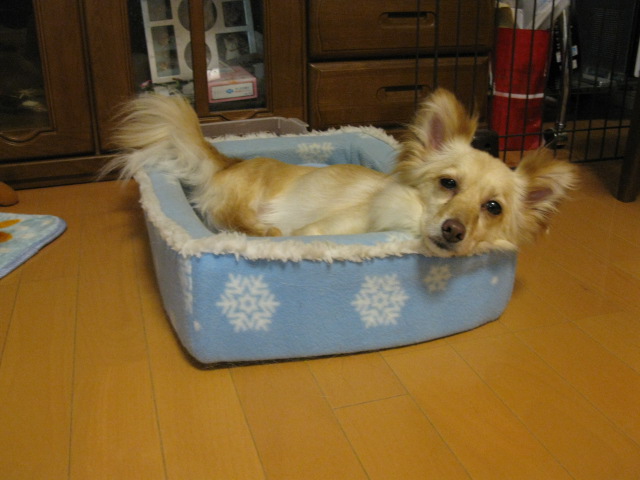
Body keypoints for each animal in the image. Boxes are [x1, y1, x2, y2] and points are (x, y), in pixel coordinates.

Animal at [106, 89, 577, 257]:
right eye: (448, 184)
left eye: (493, 208)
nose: (453, 230)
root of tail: (229, 159)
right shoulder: (317, 231)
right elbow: (307, 236)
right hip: (245, 201)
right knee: (233, 221)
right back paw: (263, 230)